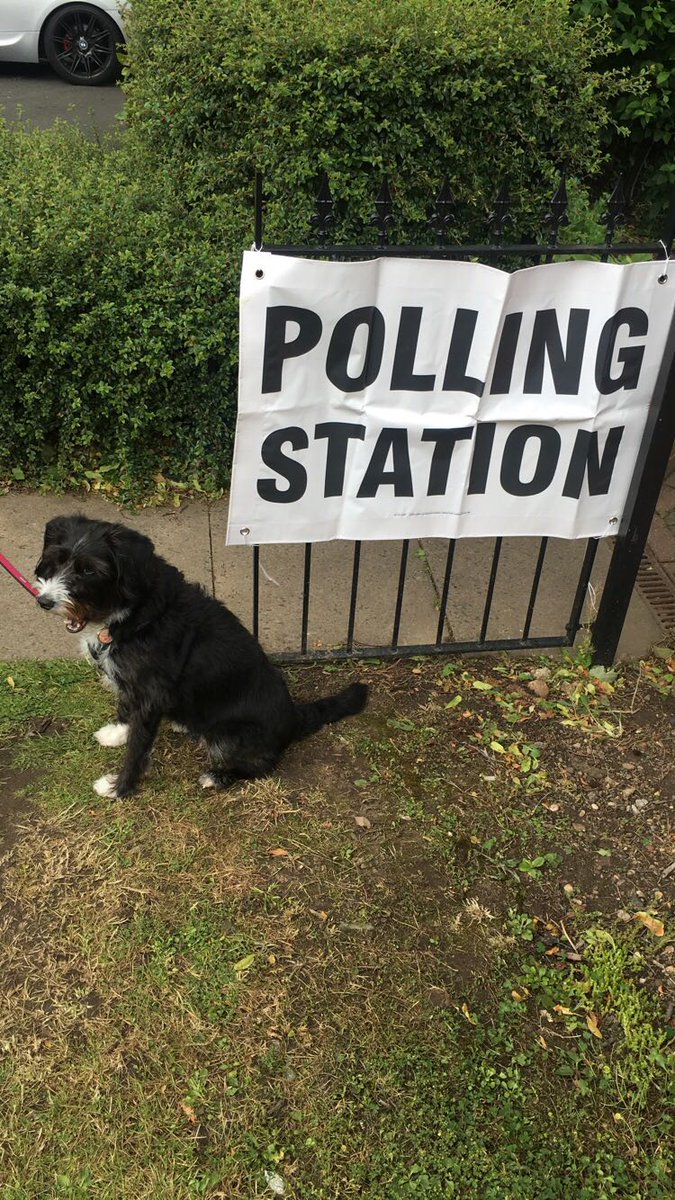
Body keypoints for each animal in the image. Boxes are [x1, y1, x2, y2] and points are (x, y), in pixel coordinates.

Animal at [33, 513, 365, 796]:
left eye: (89, 570)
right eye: (56, 560)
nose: (44, 601)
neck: (135, 610)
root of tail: (294, 717)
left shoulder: (150, 693)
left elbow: (138, 748)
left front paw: (120, 788)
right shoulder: (132, 683)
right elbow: (126, 710)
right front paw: (117, 734)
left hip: (228, 737)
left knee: (263, 765)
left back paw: (217, 776)